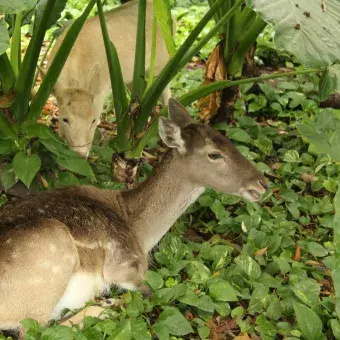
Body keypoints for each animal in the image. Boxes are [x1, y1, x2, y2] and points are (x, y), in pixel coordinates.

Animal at [0, 99, 268, 338]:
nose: (262, 183)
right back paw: (106, 306)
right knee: (37, 330)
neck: (140, 231)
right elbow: (147, 293)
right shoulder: (128, 268)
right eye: (214, 154)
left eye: (229, 141)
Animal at [44, 0, 173, 157]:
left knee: (166, 91)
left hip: (162, 60)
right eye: (65, 119)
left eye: (93, 120)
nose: (81, 153)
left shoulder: (101, 90)